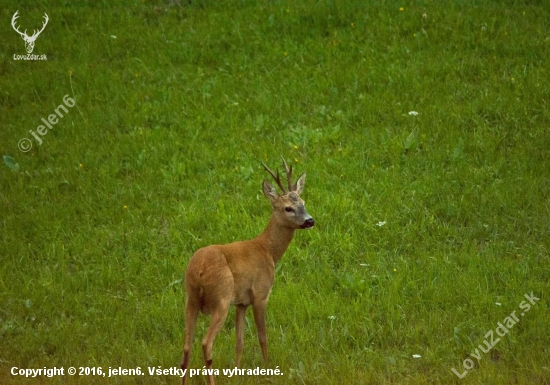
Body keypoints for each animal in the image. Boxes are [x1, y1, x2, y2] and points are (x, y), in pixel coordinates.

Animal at [181, 157, 314, 384]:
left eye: (303, 203)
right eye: (288, 208)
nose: (310, 220)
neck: (267, 250)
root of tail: (199, 270)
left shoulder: (241, 302)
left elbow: (239, 340)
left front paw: (236, 372)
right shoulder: (260, 294)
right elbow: (262, 337)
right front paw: (268, 370)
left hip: (191, 299)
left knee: (187, 345)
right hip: (221, 298)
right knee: (206, 343)